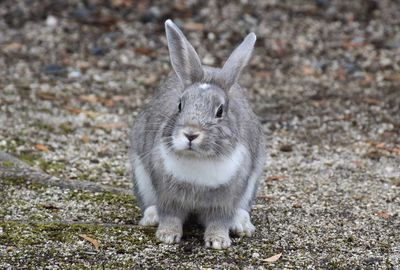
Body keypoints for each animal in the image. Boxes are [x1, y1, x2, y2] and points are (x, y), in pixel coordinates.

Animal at [129, 20, 266, 250]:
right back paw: (151, 217)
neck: (198, 159)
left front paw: (218, 242)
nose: (191, 134)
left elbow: (219, 221)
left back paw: (241, 225)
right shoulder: (168, 197)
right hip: (141, 177)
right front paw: (167, 236)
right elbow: (171, 217)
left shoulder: (224, 201)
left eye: (220, 111)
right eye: (179, 105)